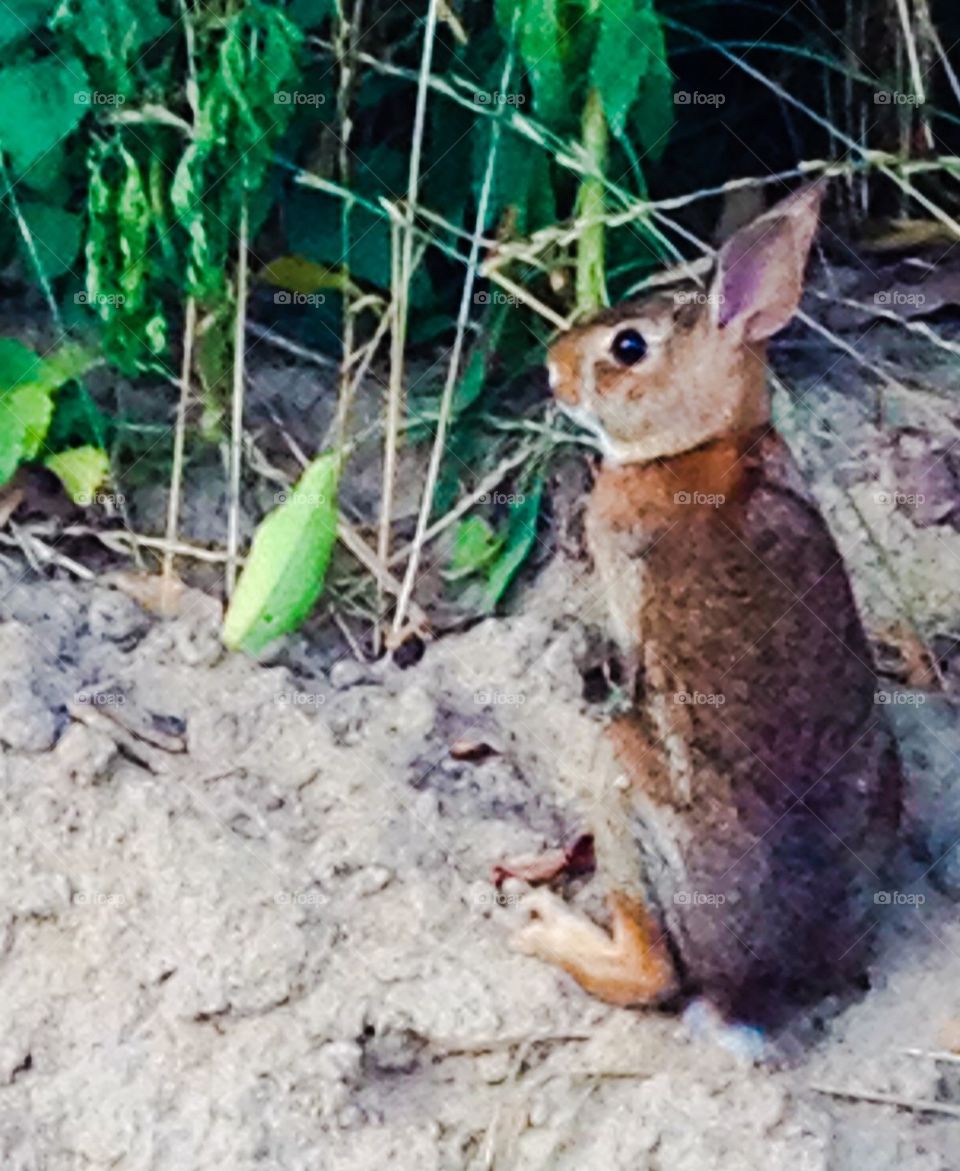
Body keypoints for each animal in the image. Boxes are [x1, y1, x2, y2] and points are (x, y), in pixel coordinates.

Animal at [513, 183, 902, 1031]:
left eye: (628, 347)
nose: (551, 369)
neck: (697, 449)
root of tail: (749, 991)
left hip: (624, 796)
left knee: (652, 973)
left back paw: (547, 928)